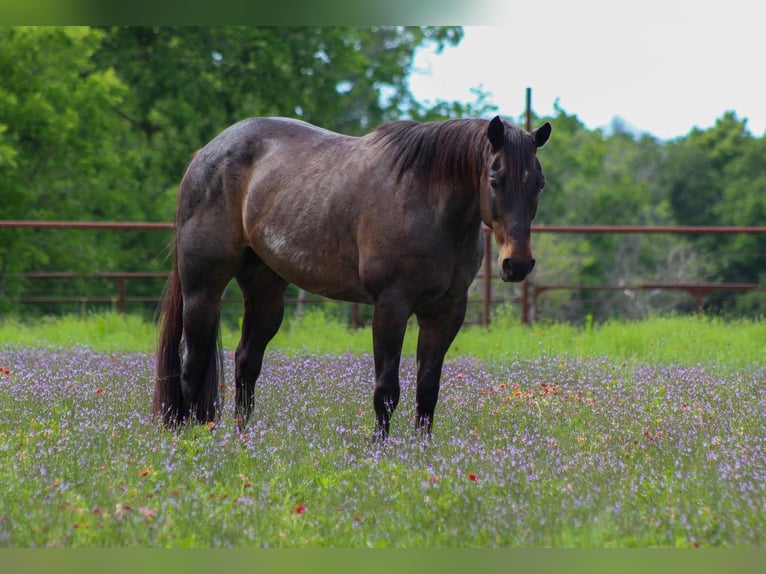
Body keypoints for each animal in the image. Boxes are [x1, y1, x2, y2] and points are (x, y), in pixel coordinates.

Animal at [153, 115, 551, 437]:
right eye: (495, 180)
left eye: (539, 183)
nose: (517, 264)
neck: (429, 203)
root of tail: (205, 153)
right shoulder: (391, 306)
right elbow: (386, 390)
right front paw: (381, 451)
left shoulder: (446, 312)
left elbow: (427, 390)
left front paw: (421, 452)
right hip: (202, 289)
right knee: (192, 362)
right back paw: (189, 439)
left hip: (265, 291)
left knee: (246, 363)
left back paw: (240, 439)